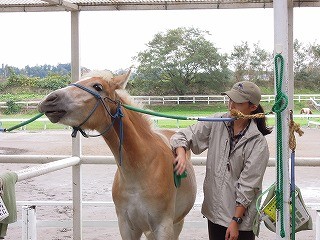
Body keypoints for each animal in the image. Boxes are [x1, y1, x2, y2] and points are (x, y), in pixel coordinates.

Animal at [38, 69, 196, 238]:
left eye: (97, 86)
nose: (49, 100)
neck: (141, 169)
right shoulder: (127, 227)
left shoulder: (163, 227)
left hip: (176, 223)